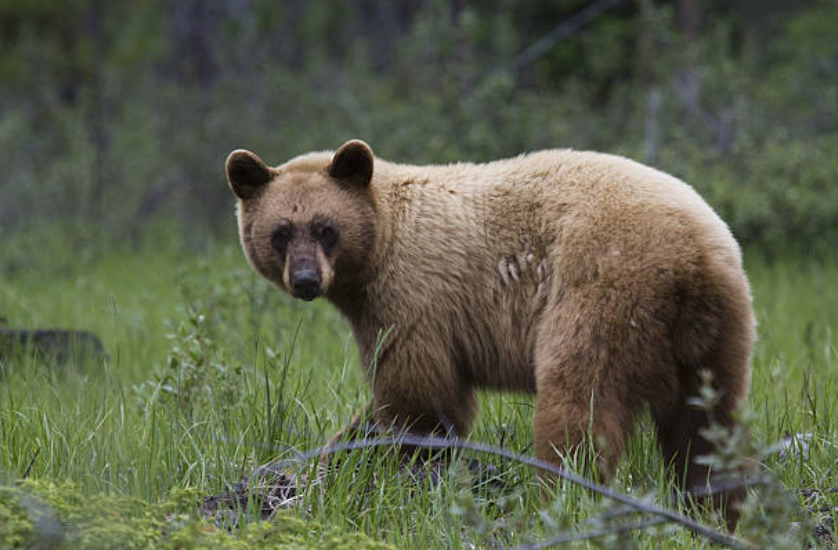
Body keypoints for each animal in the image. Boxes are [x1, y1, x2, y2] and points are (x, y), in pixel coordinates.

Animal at [226, 139, 756, 520]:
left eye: (325, 228)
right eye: (280, 232)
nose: (306, 280)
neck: (380, 248)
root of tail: (692, 252)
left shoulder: (414, 297)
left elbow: (418, 397)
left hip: (602, 295)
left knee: (579, 404)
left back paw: (557, 503)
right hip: (716, 332)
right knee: (709, 427)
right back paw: (718, 509)